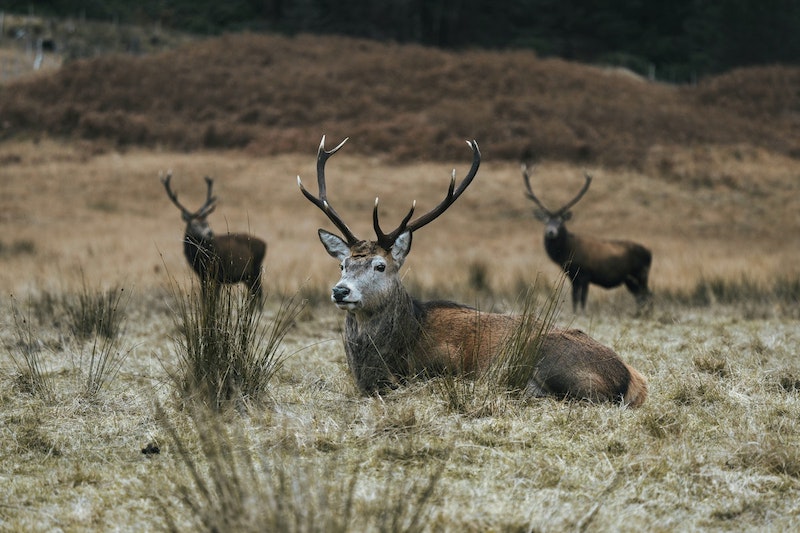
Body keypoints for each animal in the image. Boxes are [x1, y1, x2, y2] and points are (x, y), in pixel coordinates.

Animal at [161, 171, 267, 305]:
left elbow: (214, 299)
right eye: (194, 224)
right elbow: (204, 297)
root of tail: (265, 244)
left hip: (255, 269)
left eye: (207, 222)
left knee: (259, 293)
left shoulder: (218, 273)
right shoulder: (203, 276)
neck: (201, 257)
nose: (210, 232)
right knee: (255, 292)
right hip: (248, 275)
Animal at [521, 165, 652, 313]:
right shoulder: (572, 276)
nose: (551, 232)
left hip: (641, 274)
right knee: (641, 297)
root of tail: (650, 253)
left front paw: (582, 313)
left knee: (648, 295)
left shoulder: (585, 274)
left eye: (560, 222)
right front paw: (575, 312)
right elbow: (574, 298)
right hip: (630, 280)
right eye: (546, 221)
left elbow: (583, 299)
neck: (567, 253)